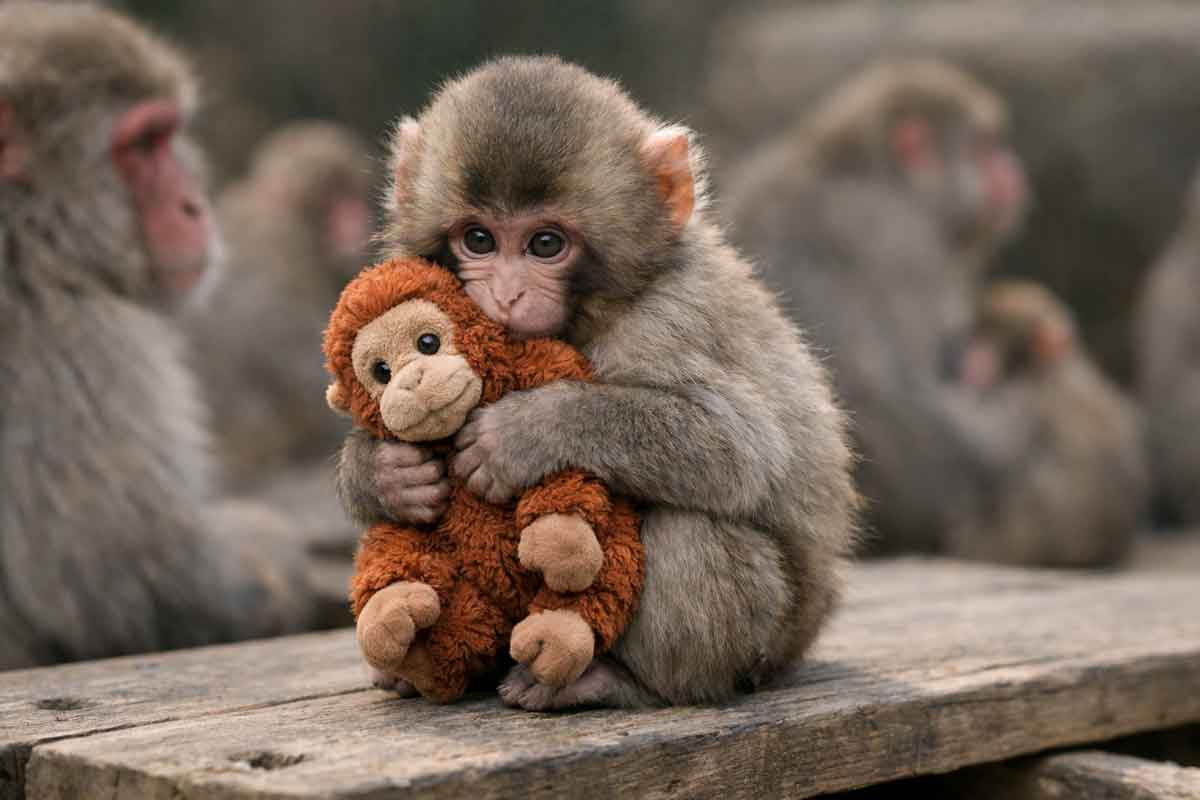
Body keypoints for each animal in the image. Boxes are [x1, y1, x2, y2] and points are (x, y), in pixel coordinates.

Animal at [0, 3, 316, 669]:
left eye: (166, 137)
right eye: (141, 145)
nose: (195, 205)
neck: (23, 225)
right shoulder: (76, 341)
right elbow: (139, 583)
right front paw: (273, 547)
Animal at [334, 56, 859, 710]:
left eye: (546, 244)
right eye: (479, 239)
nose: (506, 294)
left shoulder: (672, 316)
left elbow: (738, 449)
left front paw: (526, 433)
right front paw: (384, 473)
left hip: (771, 638)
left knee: (689, 530)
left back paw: (618, 681)